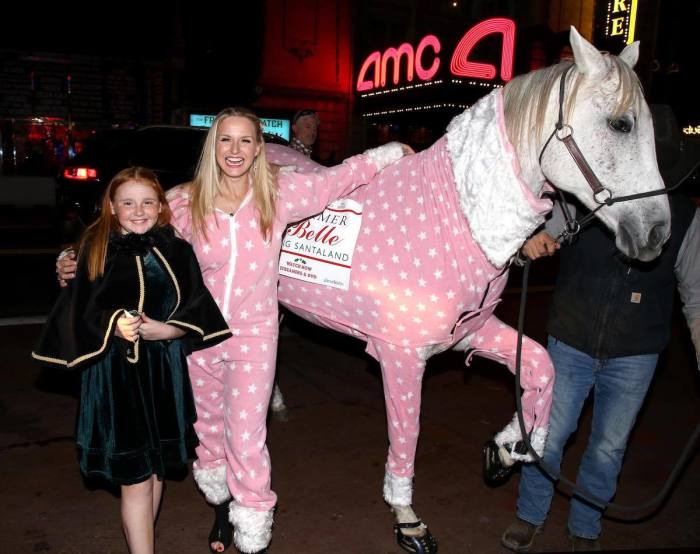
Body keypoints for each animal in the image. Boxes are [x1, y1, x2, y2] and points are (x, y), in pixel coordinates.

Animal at [266, 28, 668, 548]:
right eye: (620, 124)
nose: (656, 233)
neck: (456, 212)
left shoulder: (470, 331)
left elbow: (542, 368)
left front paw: (511, 447)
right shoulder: (401, 355)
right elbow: (407, 435)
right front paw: (406, 516)